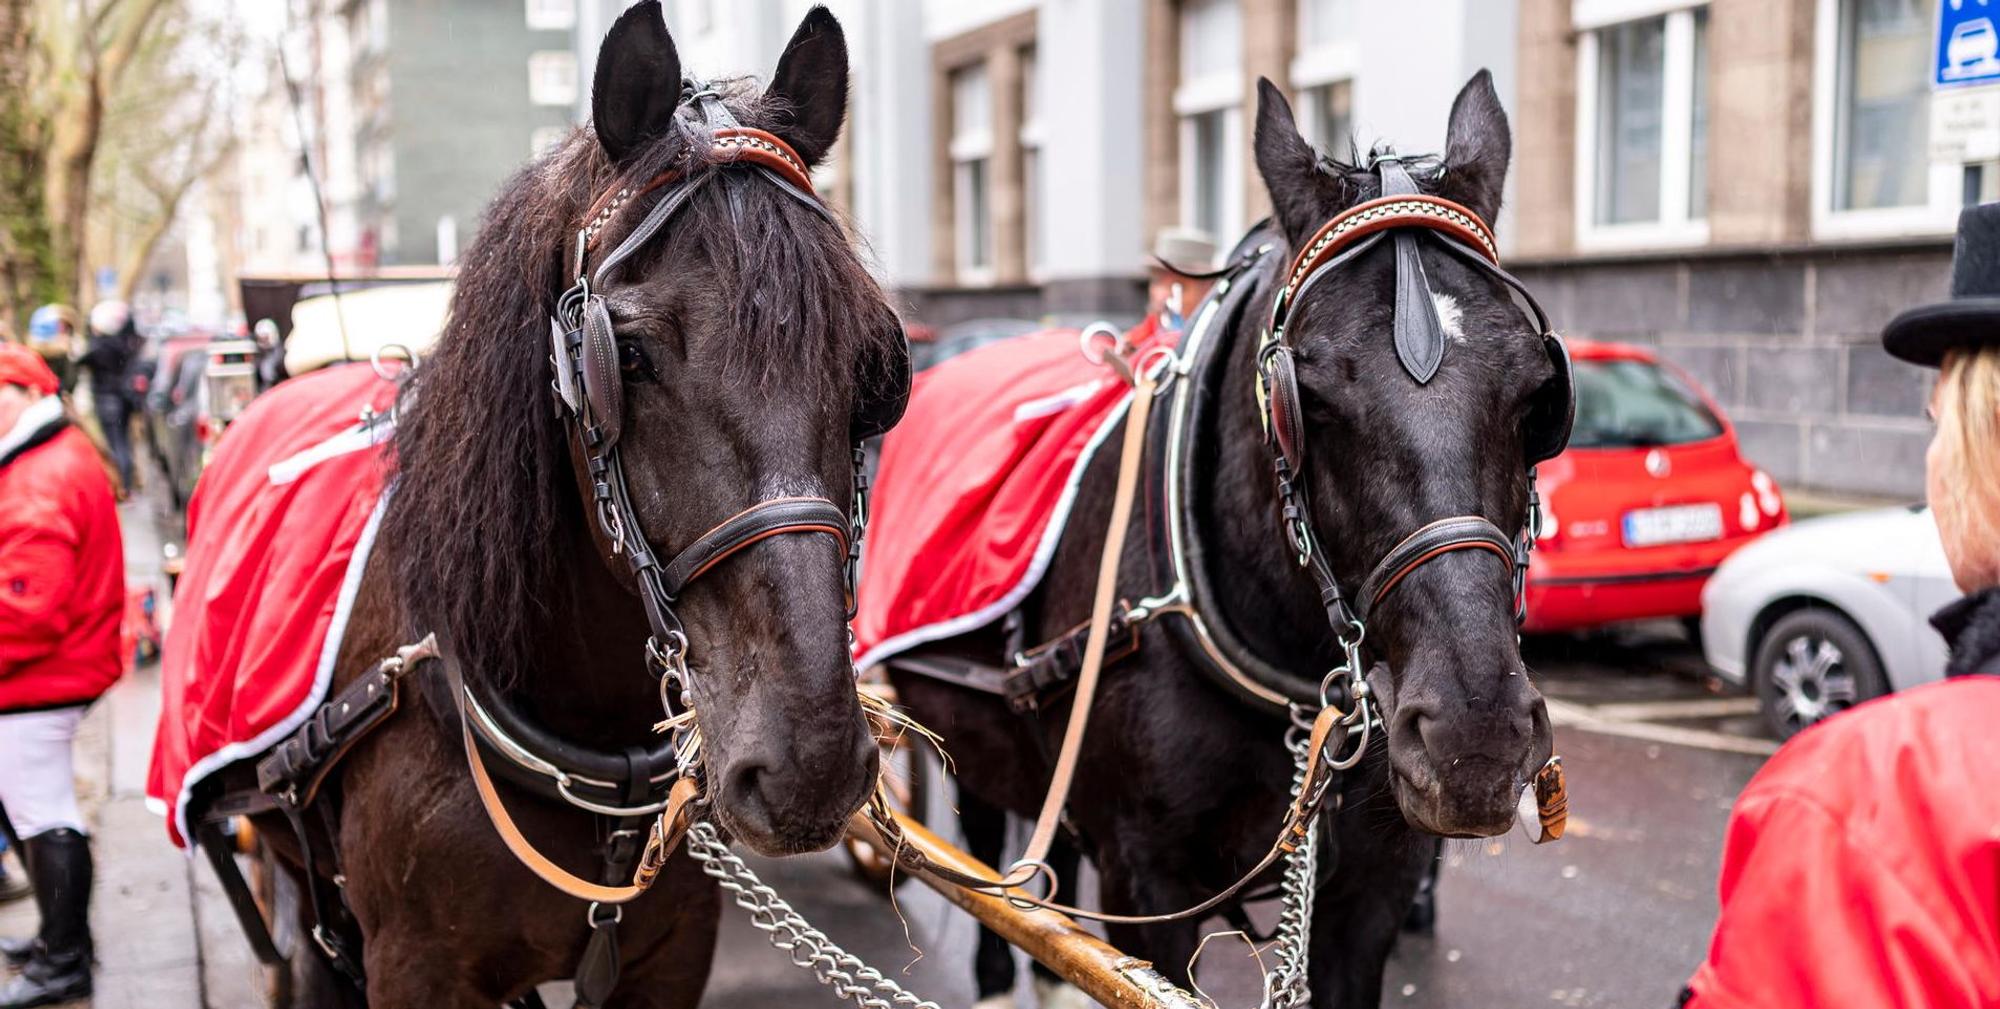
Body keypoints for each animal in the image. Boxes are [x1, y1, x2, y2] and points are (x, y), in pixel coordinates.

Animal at [887, 71, 1563, 1009]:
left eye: (1539, 393)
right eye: (1307, 400)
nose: (1476, 739)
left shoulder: (1374, 889)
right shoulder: (1148, 885)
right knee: (989, 854)